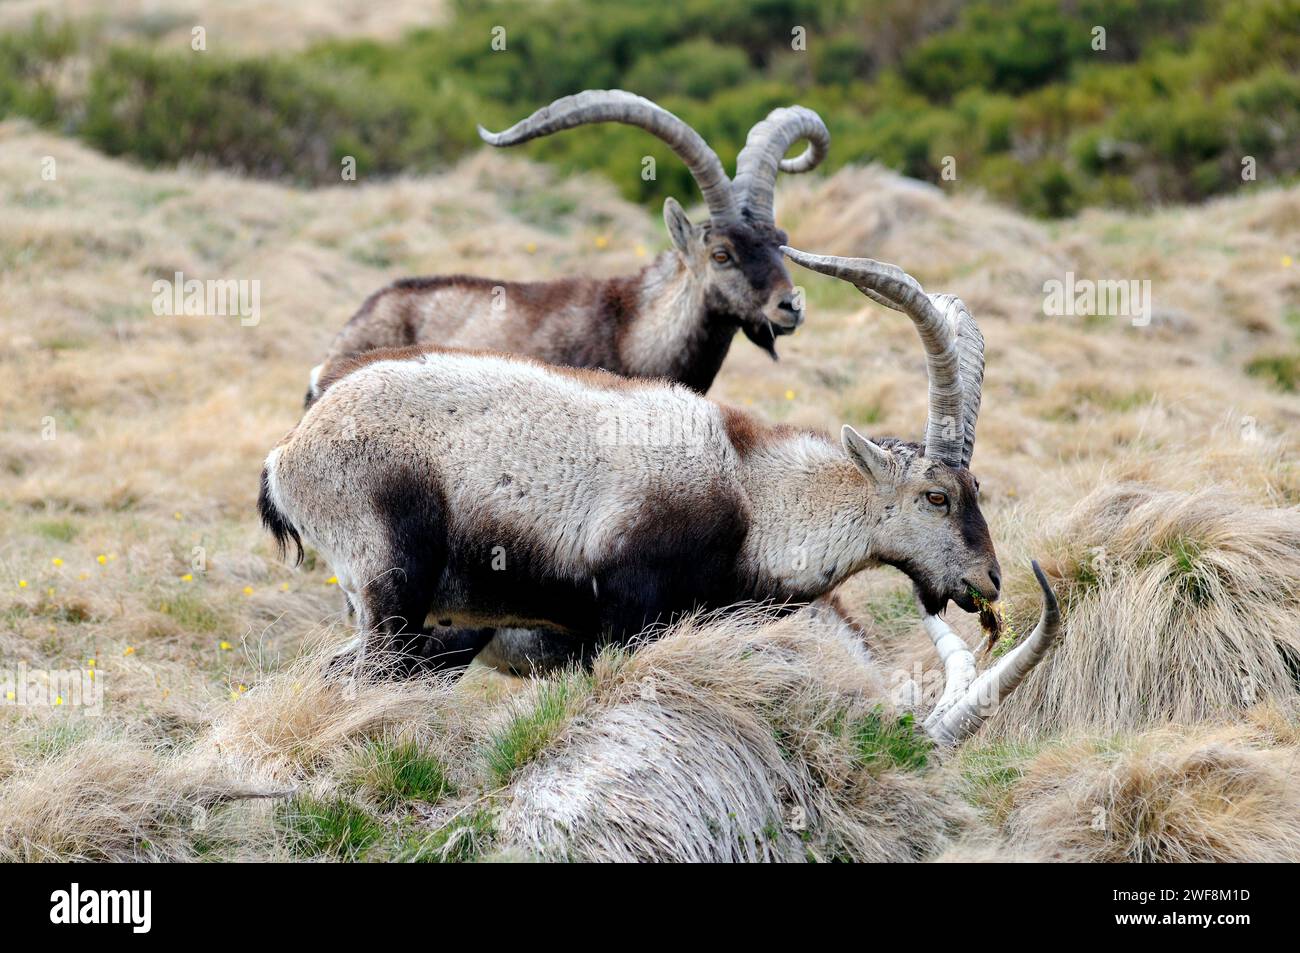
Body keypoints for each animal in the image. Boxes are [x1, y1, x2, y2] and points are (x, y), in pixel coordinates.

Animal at [260, 248, 1061, 743]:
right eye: (935, 496)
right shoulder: (624, 614)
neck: (748, 490)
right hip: (395, 591)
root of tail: (290, 450)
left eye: (976, 487)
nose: (988, 580)